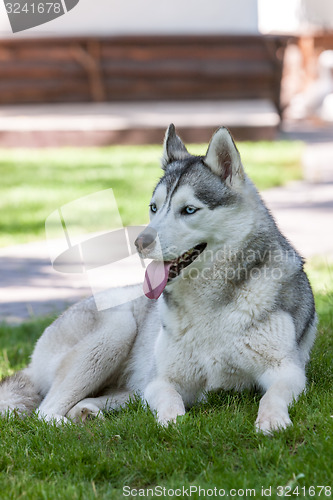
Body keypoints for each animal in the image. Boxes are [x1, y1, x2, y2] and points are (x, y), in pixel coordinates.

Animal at [0, 125, 316, 434]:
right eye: (154, 207)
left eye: (189, 210)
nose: (139, 243)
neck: (211, 302)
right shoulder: (162, 381)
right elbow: (171, 402)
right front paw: (172, 423)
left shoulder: (287, 371)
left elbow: (272, 396)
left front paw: (272, 420)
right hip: (117, 328)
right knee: (45, 412)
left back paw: (86, 412)